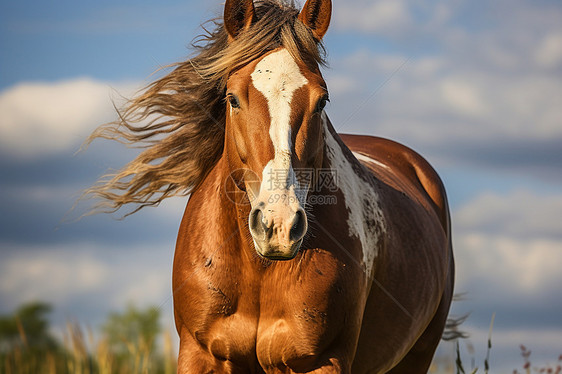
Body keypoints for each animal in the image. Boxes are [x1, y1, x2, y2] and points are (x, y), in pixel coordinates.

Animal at [87, 0, 456, 372]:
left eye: (322, 100)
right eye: (233, 98)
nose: (278, 225)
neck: (259, 269)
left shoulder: (322, 360)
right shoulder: (199, 354)